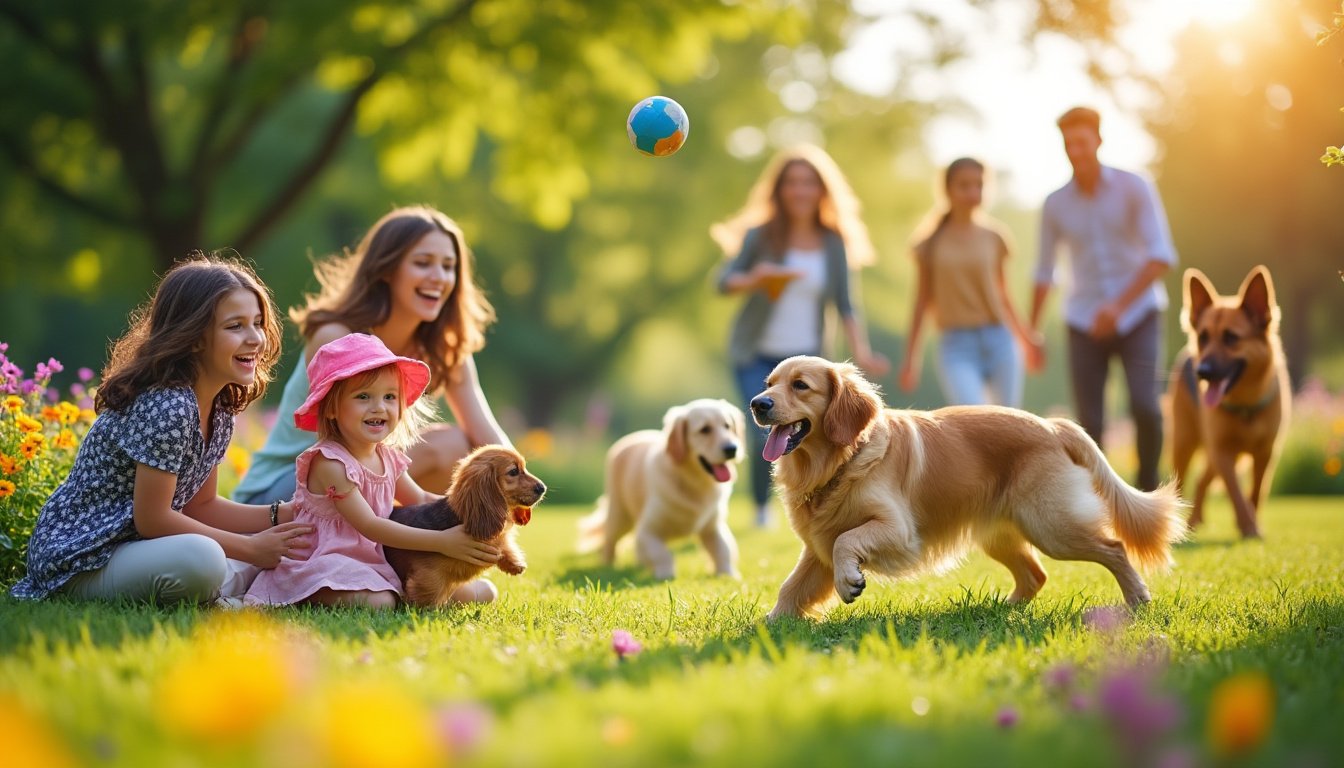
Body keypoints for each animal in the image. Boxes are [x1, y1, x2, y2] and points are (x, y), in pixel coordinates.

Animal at [387, 443, 542, 607]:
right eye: (513, 471)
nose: (543, 488)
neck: (464, 519)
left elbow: (503, 545)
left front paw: (514, 563)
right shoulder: (429, 575)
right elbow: (428, 595)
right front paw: (423, 610)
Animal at [577, 400, 747, 581]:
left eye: (727, 426)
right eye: (704, 429)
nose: (732, 449)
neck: (693, 482)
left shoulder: (713, 528)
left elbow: (724, 551)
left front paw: (728, 575)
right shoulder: (647, 531)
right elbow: (662, 554)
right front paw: (665, 575)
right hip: (620, 516)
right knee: (609, 540)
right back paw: (608, 565)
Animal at [758, 357, 1188, 621]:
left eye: (800, 386)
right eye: (770, 384)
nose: (756, 404)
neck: (842, 460)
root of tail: (1054, 425)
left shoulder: (898, 530)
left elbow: (847, 540)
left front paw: (850, 581)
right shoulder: (817, 546)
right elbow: (791, 586)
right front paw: (771, 624)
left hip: (1053, 527)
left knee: (1113, 547)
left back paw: (1138, 598)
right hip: (1002, 536)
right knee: (1035, 575)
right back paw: (998, 609)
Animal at [1171, 267, 1284, 538]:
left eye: (1231, 338)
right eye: (1203, 338)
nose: (1202, 372)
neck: (1245, 406)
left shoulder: (1265, 453)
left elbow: (1256, 492)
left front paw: (1252, 525)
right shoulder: (1223, 451)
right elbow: (1236, 494)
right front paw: (1248, 526)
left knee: (1202, 480)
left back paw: (1196, 521)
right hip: (1185, 443)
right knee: (1184, 482)